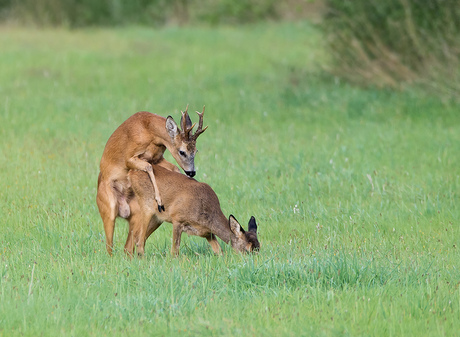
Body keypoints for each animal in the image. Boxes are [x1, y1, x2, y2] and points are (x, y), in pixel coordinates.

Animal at [96, 105, 208, 255]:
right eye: (182, 151)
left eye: (196, 151)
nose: (192, 172)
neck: (150, 132)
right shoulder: (129, 158)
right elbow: (149, 168)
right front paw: (159, 200)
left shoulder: (158, 158)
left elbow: (174, 168)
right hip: (108, 210)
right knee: (109, 249)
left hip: (145, 216)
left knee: (128, 247)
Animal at [124, 164, 260, 256]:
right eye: (248, 249)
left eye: (259, 247)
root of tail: (131, 172)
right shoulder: (177, 219)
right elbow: (174, 252)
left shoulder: (208, 233)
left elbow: (219, 252)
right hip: (146, 206)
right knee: (139, 242)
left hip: (158, 218)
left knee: (135, 240)